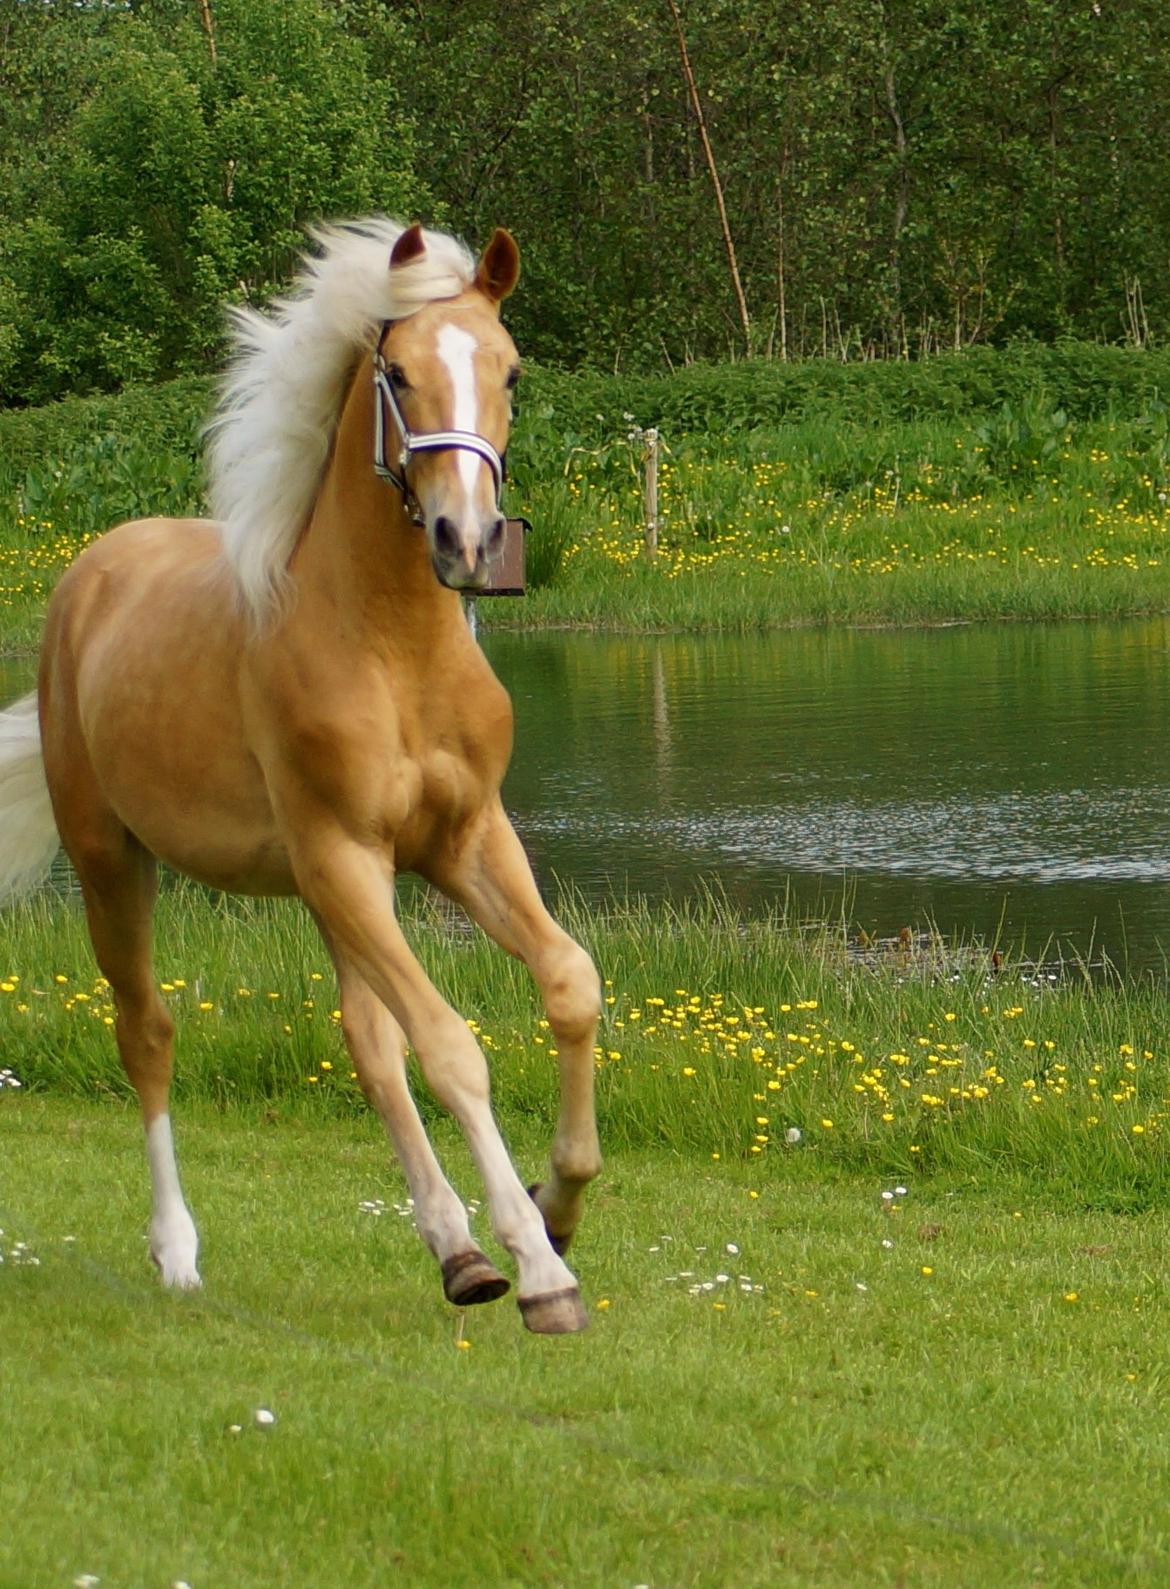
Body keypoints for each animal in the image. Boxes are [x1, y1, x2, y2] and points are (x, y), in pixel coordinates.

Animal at [0, 220, 604, 1328]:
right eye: (398, 375)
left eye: (510, 370)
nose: (468, 540)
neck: (393, 650)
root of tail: (88, 576)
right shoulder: (346, 854)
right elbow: (451, 1046)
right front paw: (544, 1269)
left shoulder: (464, 841)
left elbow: (568, 982)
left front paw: (559, 1204)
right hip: (119, 861)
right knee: (147, 1033)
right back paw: (179, 1252)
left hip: (330, 893)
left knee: (367, 1040)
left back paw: (458, 1253)